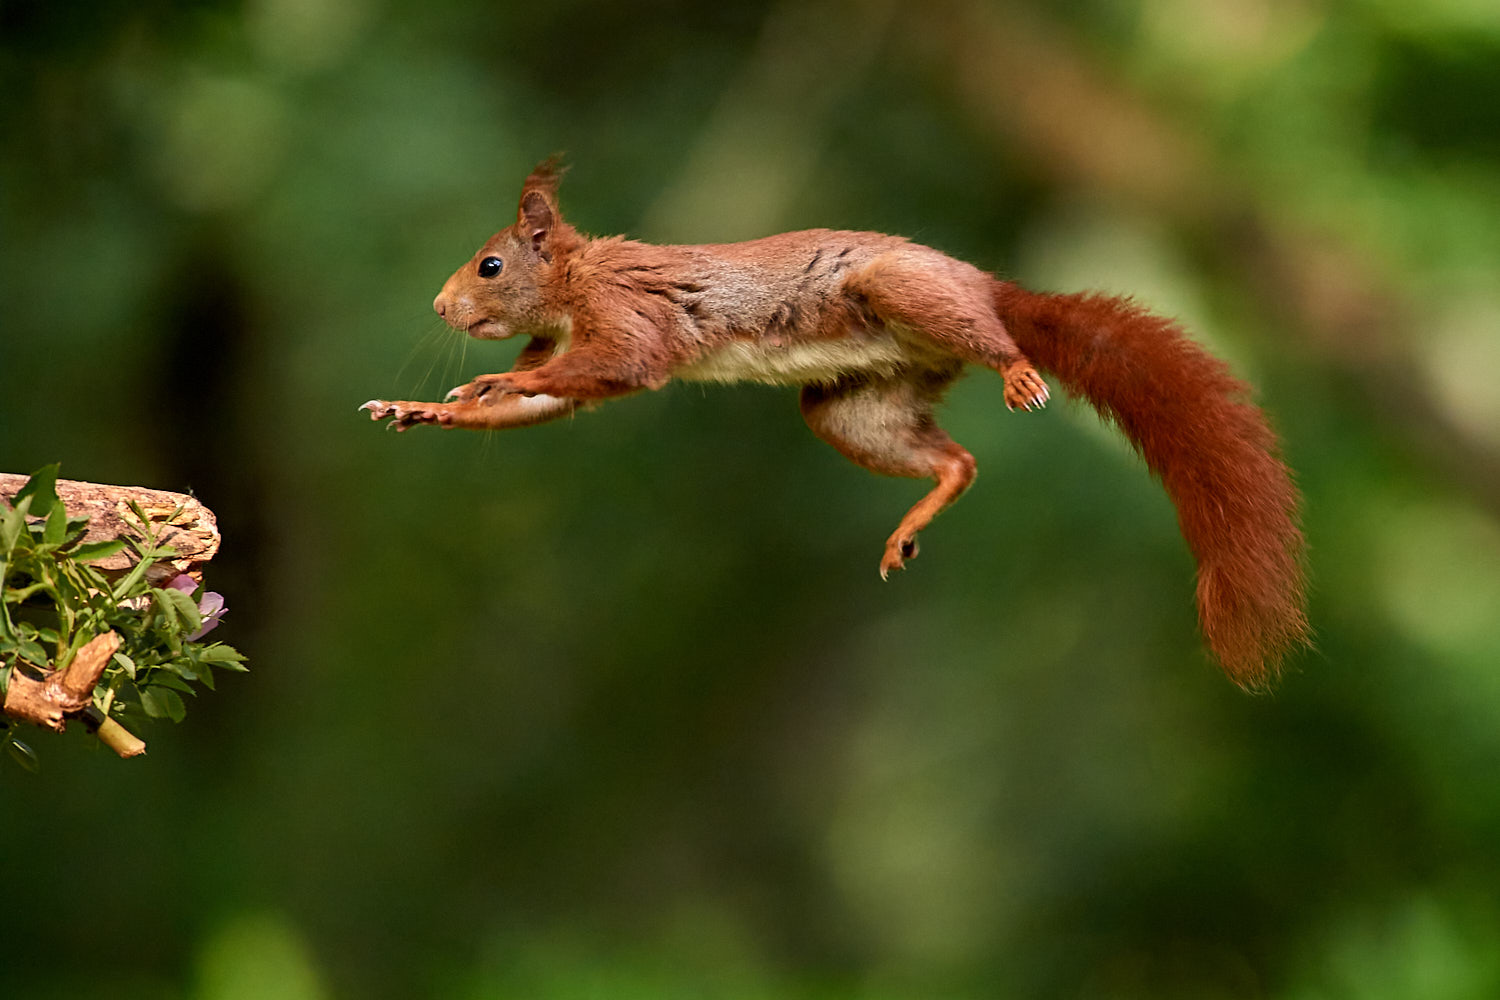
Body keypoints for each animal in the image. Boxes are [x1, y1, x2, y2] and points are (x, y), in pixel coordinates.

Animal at [362, 161, 1308, 687]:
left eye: (490, 265)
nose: (440, 307)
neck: (573, 284)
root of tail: (986, 286)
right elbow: (548, 400)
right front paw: (423, 408)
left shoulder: (625, 318)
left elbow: (613, 365)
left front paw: (485, 380)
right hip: (854, 406)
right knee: (957, 460)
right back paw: (920, 511)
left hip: (904, 293)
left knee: (995, 343)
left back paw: (1016, 368)